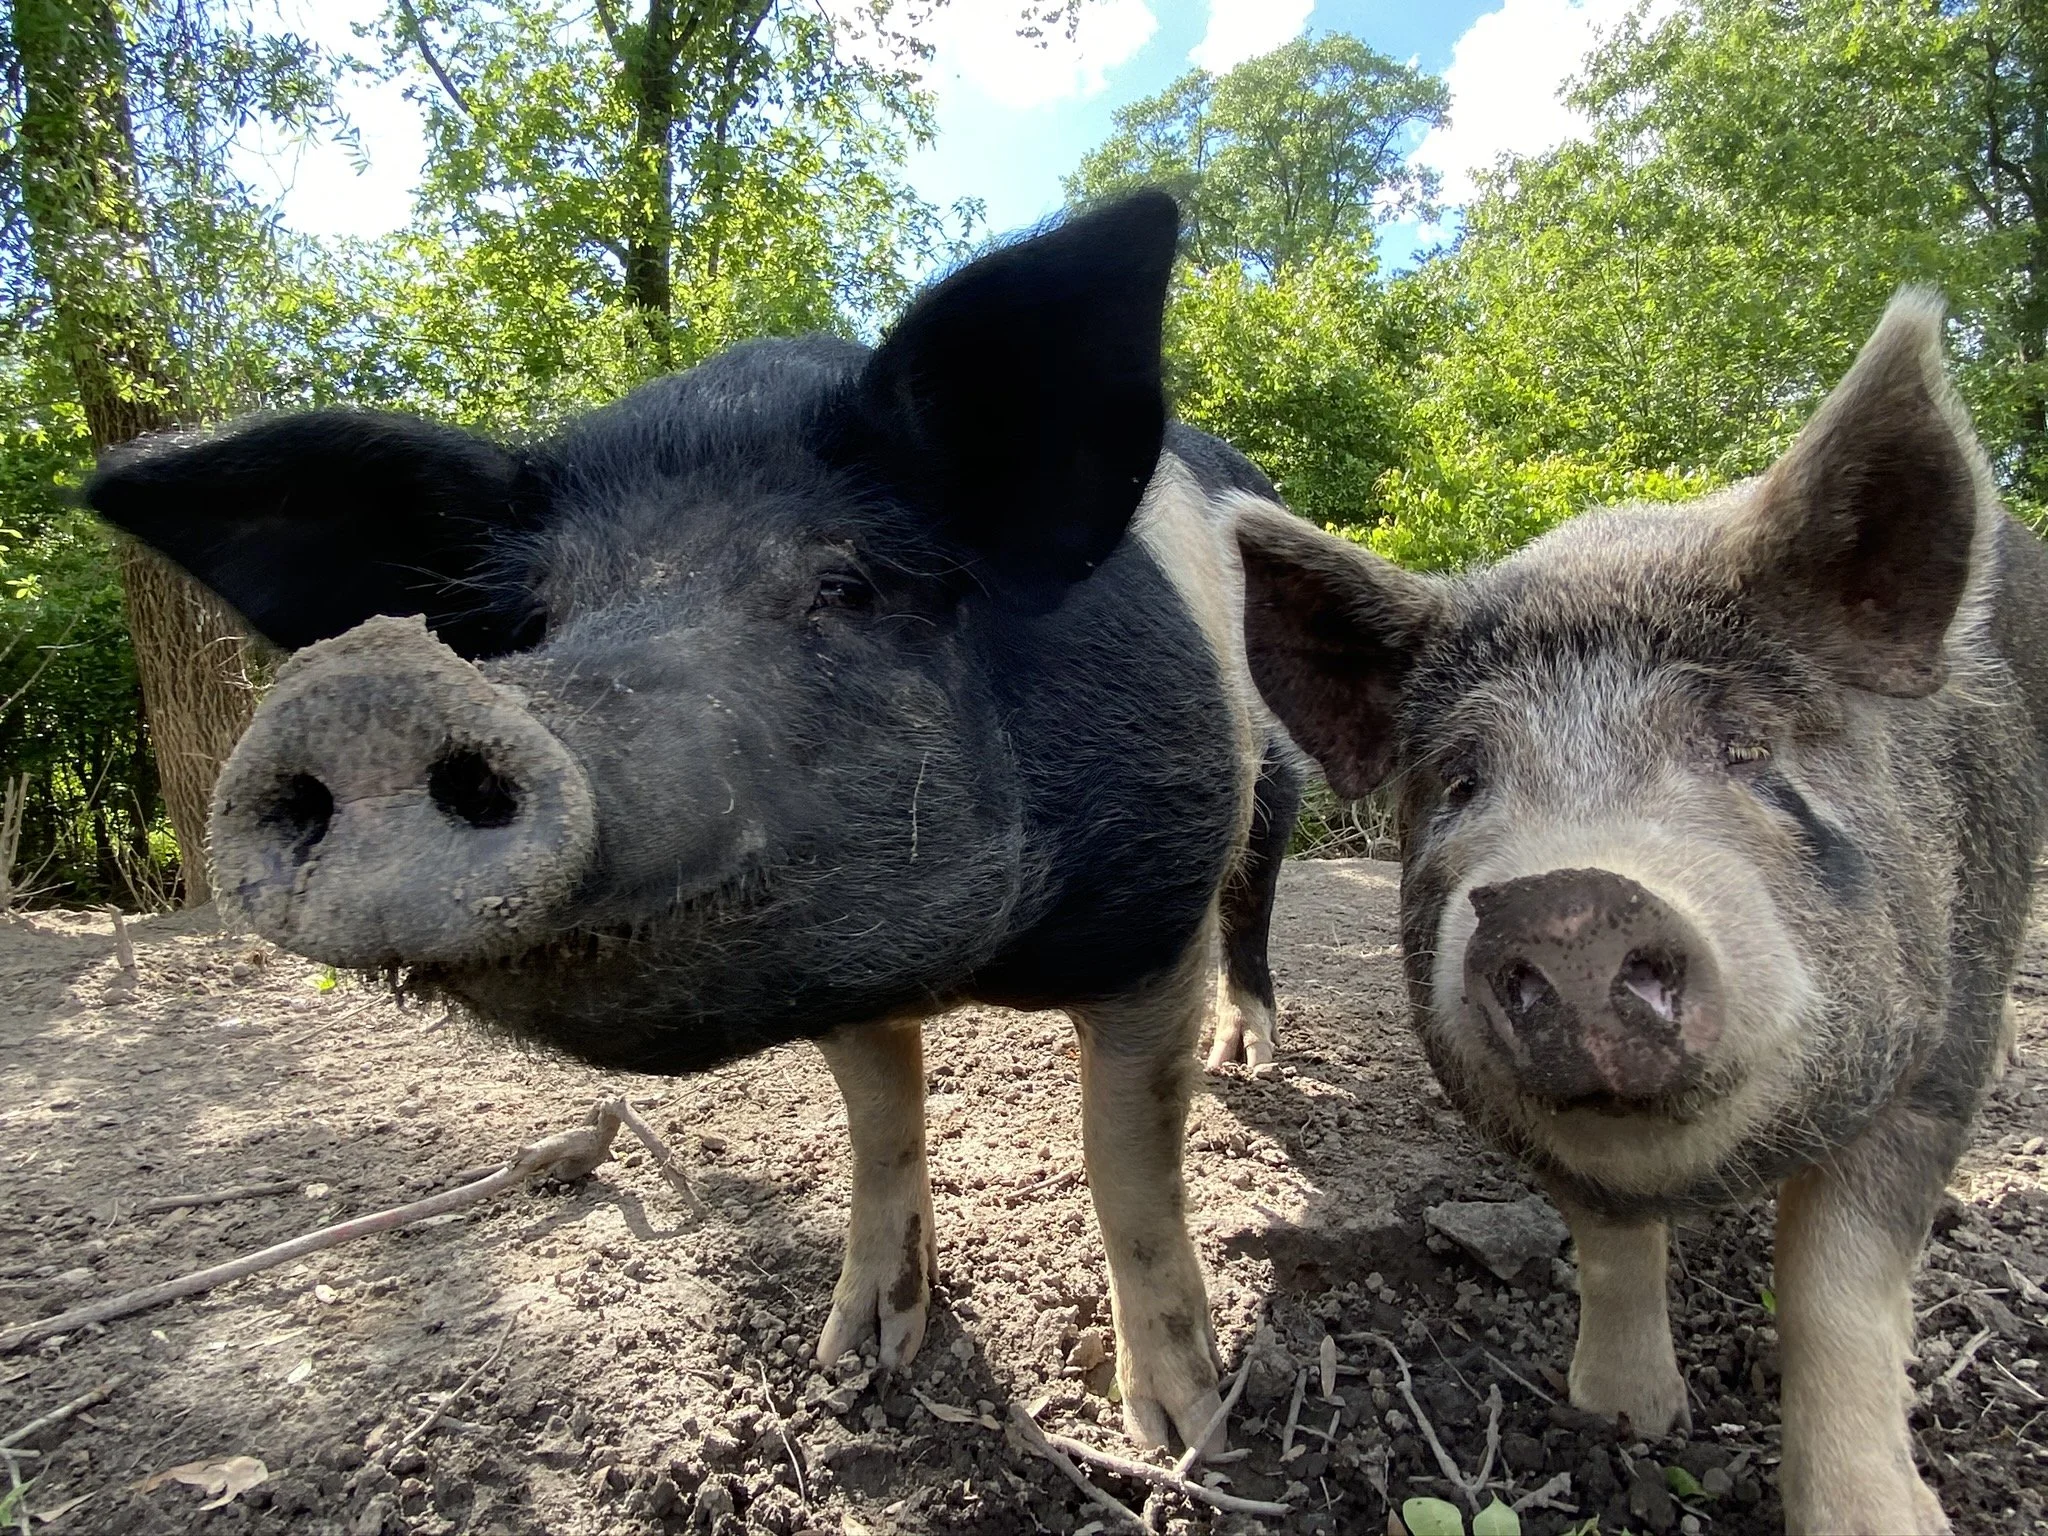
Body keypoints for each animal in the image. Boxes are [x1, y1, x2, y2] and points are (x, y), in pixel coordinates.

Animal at [85, 192, 1303, 1451]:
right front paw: (851, 1359)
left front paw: (1186, 1432)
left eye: (845, 585)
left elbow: (1126, 1161)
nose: (363, 697)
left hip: (1274, 779)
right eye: (532, 621)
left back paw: (1249, 1061)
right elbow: (881, 1128)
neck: (965, 968)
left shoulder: (1150, 914)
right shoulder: (832, 965)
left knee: (1255, 898)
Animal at [1234, 294, 2048, 1533]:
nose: (1567, 900)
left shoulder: (1924, 1069)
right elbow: (1612, 1246)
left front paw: (1880, 1522)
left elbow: (1836, 1287)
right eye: (1460, 781)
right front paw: (1622, 1416)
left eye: (1744, 748)